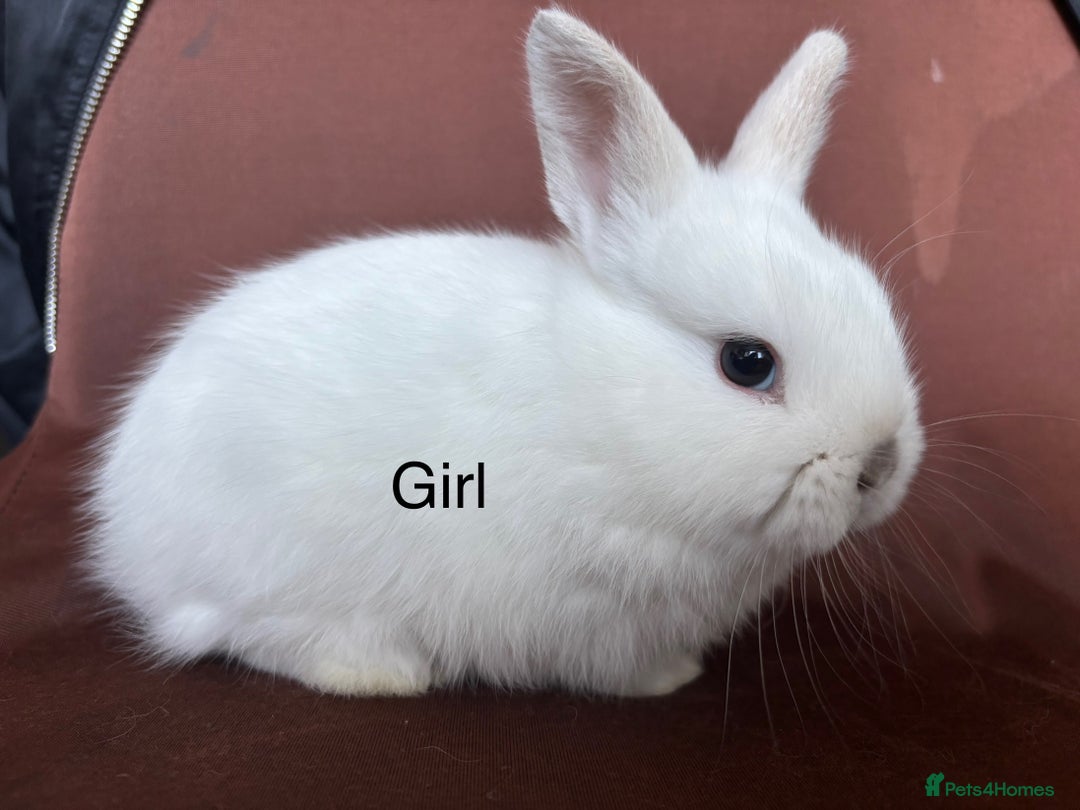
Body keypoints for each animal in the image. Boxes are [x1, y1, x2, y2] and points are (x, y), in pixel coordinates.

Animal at [84, 9, 924, 698]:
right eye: (748, 363)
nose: (879, 466)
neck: (604, 415)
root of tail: (122, 532)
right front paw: (668, 681)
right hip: (276, 568)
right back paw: (378, 674)